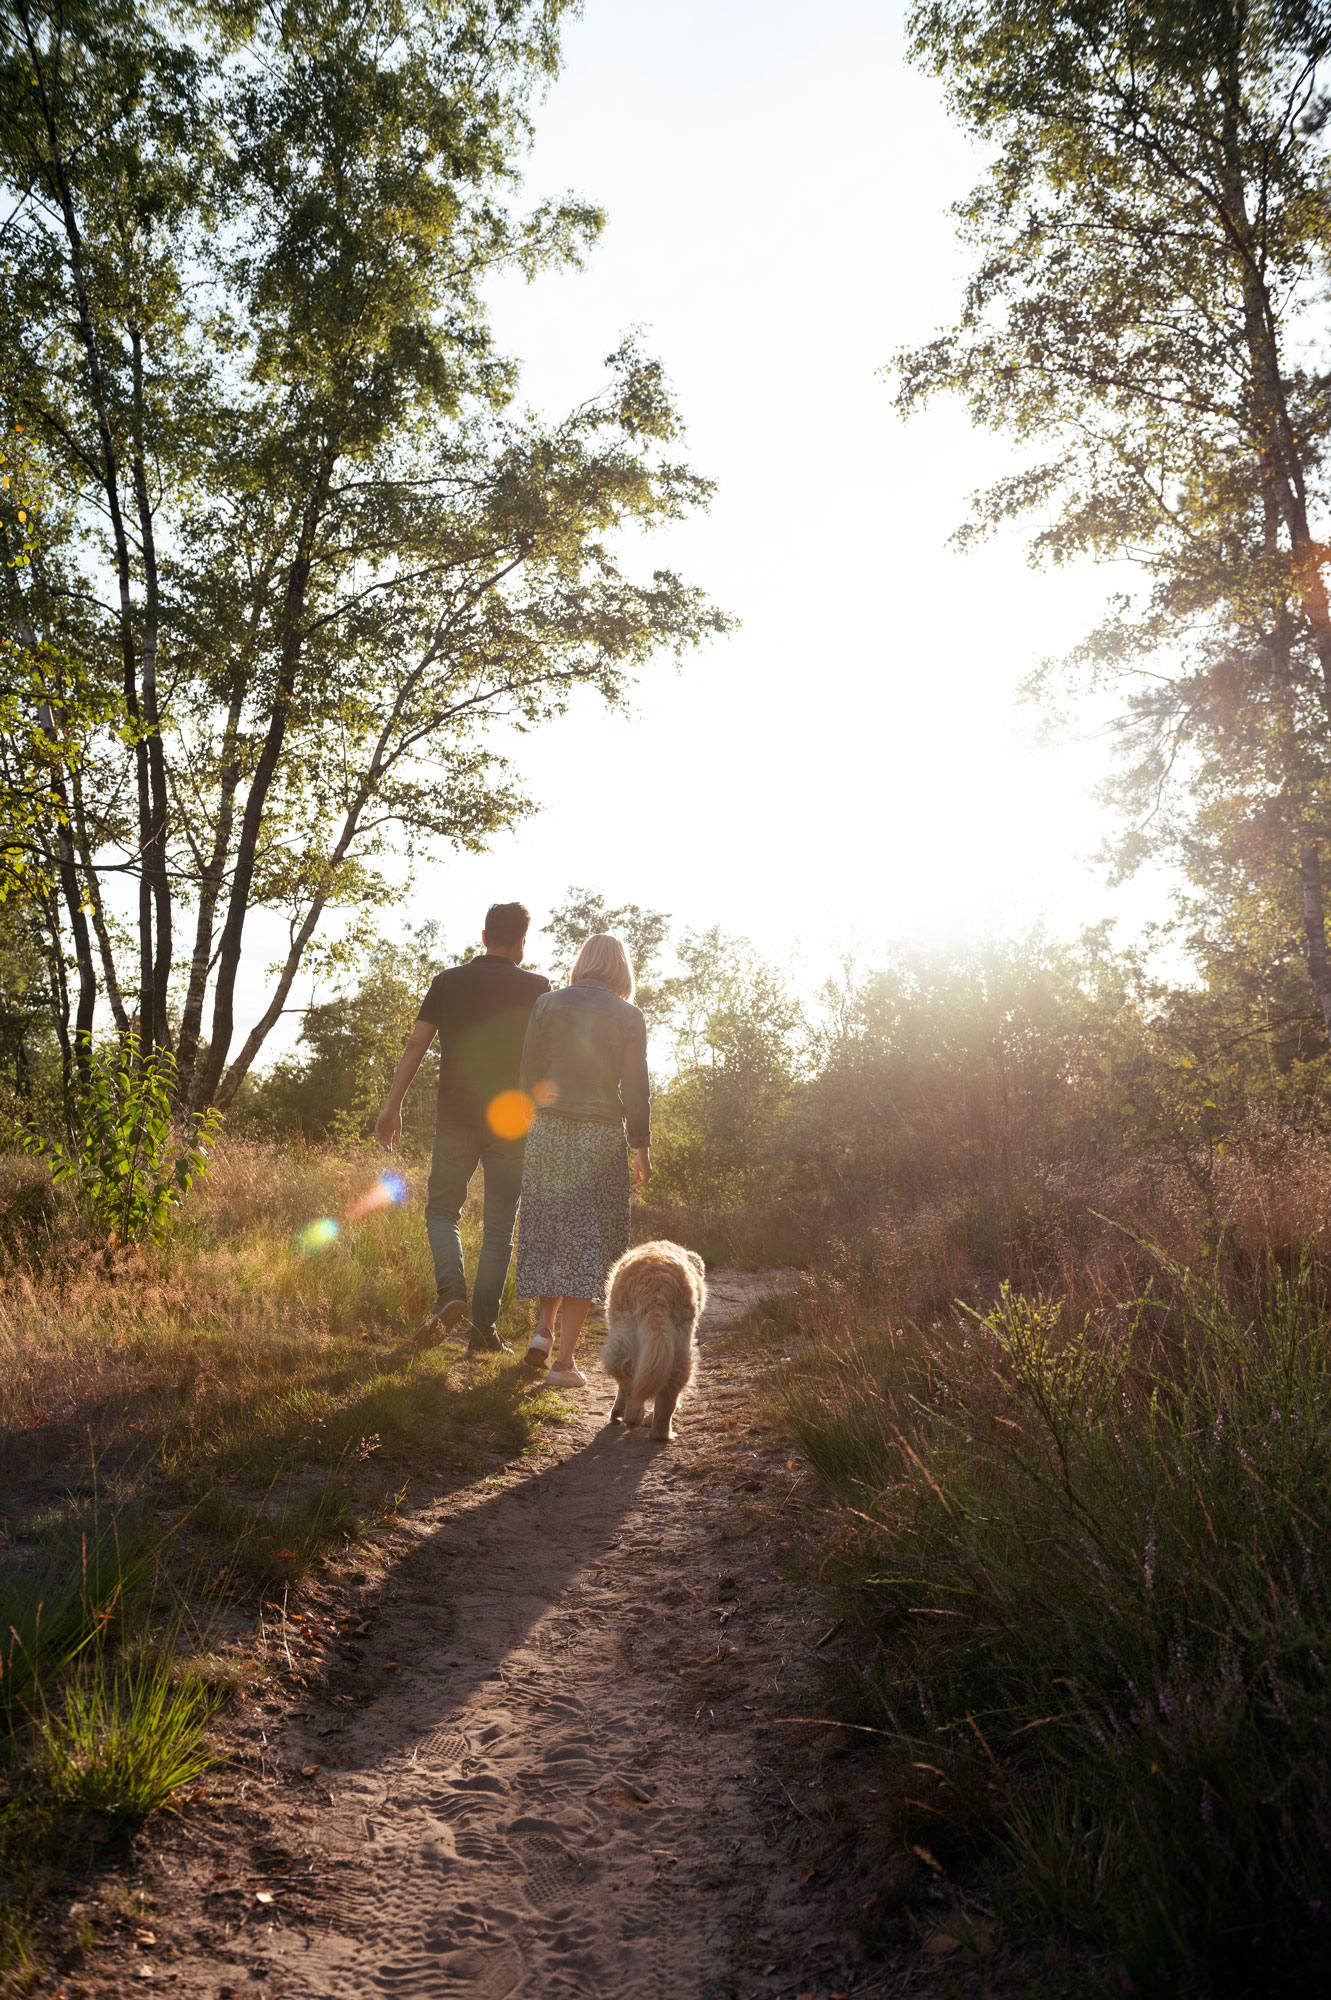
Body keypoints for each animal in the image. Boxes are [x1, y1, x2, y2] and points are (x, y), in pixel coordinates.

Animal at [599, 1232, 703, 1440]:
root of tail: (658, 1285)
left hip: (627, 1337)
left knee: (627, 1377)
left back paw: (633, 1415)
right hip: (678, 1343)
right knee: (670, 1385)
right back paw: (660, 1431)